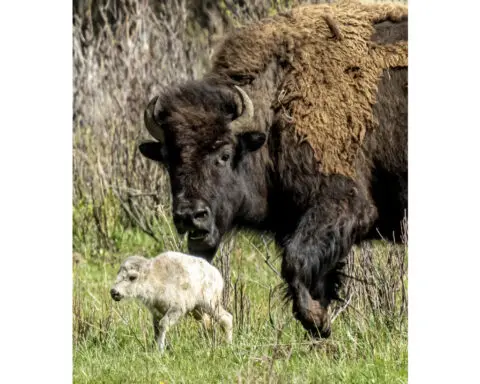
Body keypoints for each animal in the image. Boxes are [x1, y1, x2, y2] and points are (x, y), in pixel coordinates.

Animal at [137, 0, 406, 338]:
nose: (190, 216)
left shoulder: (344, 204)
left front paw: (316, 320)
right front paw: (319, 321)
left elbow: (295, 262)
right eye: (168, 159)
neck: (278, 104)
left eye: (225, 154)